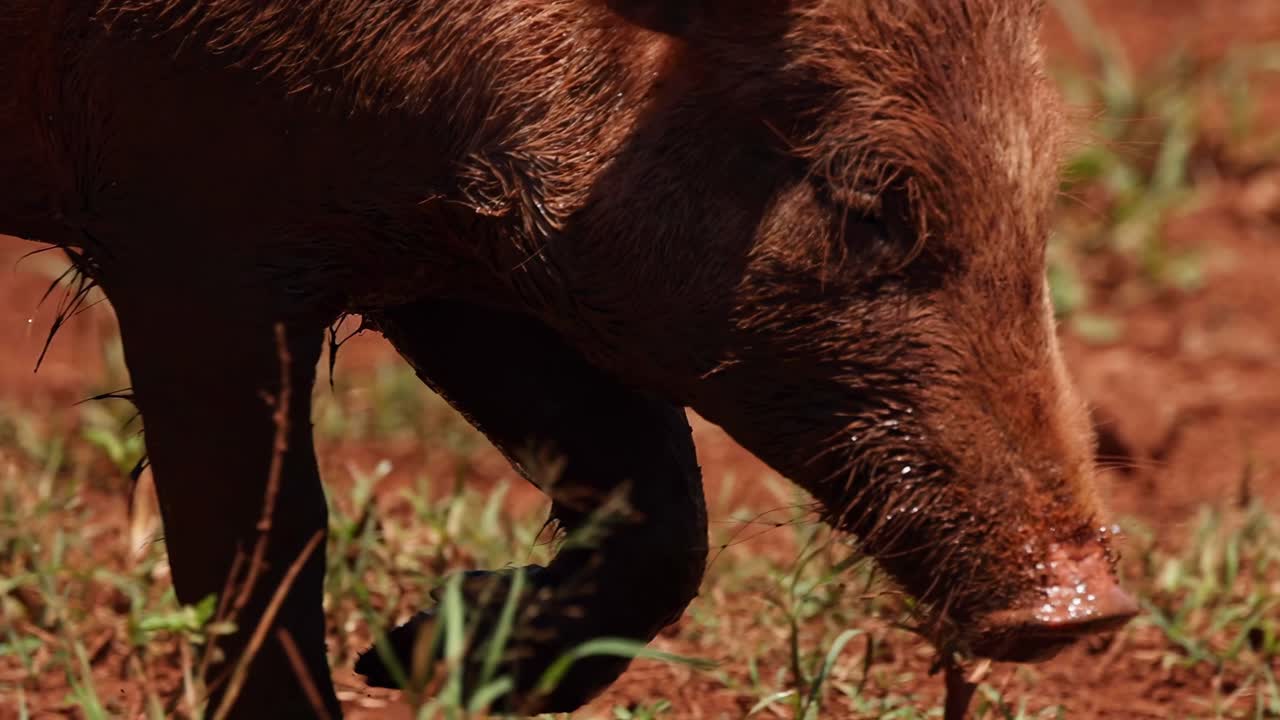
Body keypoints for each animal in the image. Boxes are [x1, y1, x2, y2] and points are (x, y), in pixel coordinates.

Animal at [0, 0, 1138, 716]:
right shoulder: (183, 246)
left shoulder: (451, 267)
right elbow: (266, 546)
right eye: (863, 200)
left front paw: (421, 658)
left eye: (1041, 193)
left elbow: (662, 502)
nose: (1085, 605)